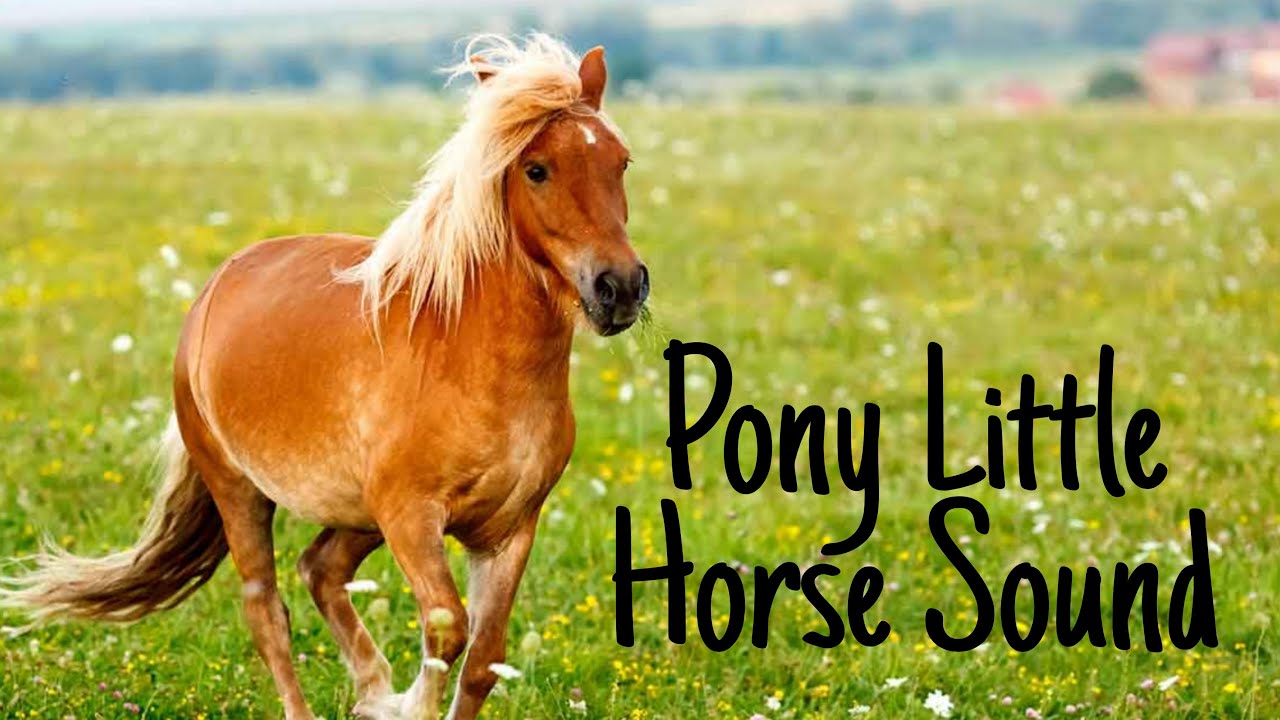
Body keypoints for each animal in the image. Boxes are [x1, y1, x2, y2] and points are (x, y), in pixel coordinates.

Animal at [0, 34, 647, 720]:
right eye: (537, 169)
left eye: (620, 163)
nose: (619, 287)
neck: (473, 361)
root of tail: (216, 285)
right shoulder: (411, 518)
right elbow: (447, 628)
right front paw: (408, 704)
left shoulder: (508, 529)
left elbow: (483, 660)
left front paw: (392, 699)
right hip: (241, 490)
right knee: (266, 608)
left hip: (357, 515)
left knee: (320, 568)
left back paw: (371, 688)